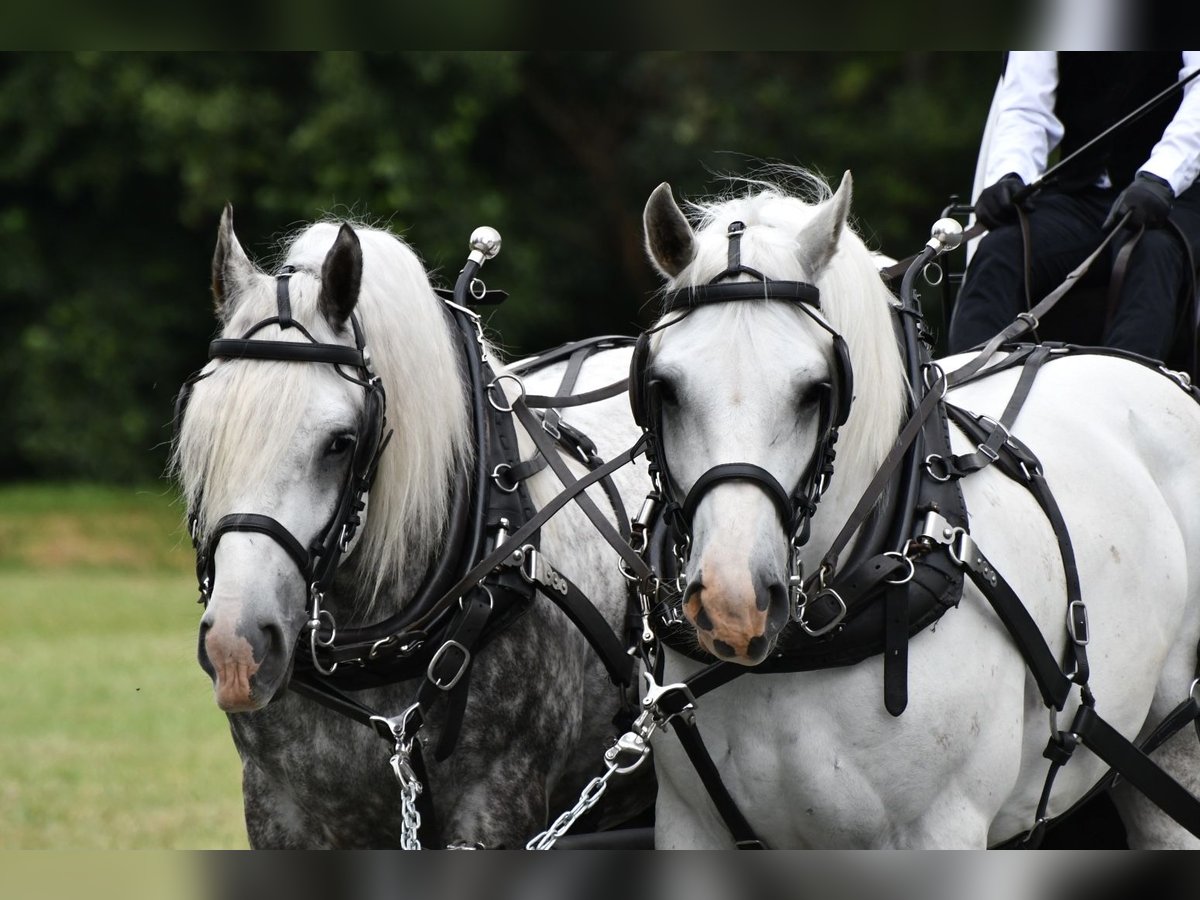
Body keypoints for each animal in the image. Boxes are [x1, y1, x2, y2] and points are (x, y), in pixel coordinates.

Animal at [643, 170, 1200, 854]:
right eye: (664, 387)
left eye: (815, 391)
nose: (732, 604)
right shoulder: (689, 827)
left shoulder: (940, 829)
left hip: (1174, 751)